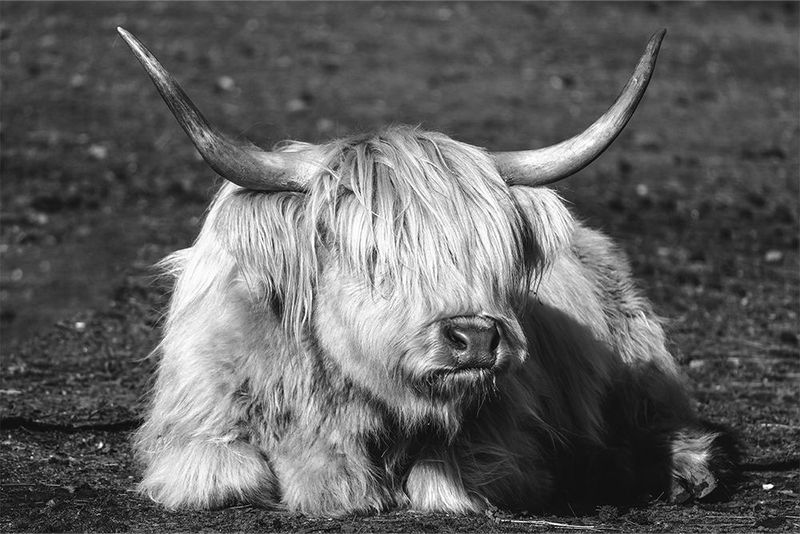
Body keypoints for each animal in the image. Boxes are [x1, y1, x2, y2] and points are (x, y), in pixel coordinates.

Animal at [118, 27, 737, 515]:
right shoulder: (193, 432)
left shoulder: (506, 442)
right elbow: (236, 474)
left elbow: (443, 483)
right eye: (373, 255)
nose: (476, 337)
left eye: (493, 252)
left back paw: (680, 473)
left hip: (641, 363)